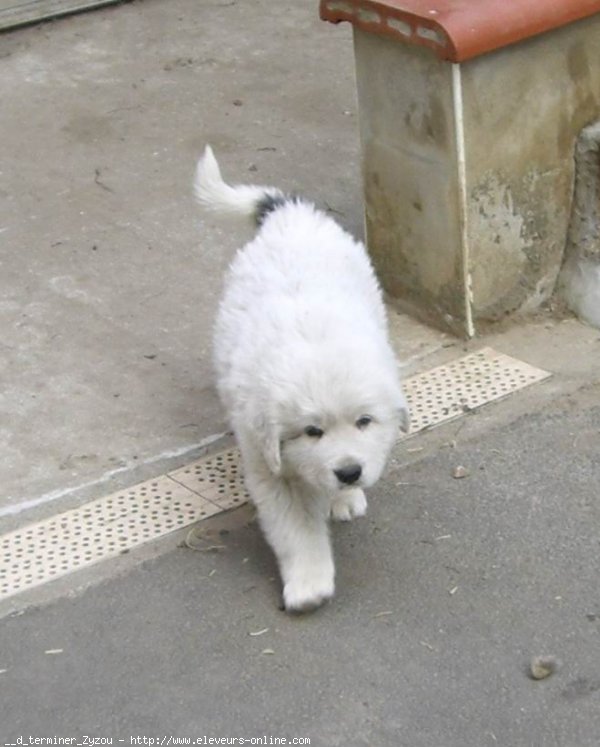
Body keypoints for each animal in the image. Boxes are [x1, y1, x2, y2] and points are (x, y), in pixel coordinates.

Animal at [195, 148, 410, 612]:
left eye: (364, 421)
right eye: (312, 431)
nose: (349, 472)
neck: (315, 338)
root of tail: (290, 213)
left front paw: (343, 495)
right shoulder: (268, 464)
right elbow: (296, 529)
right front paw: (309, 585)